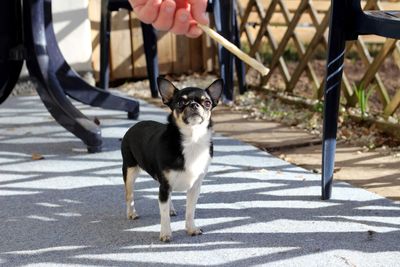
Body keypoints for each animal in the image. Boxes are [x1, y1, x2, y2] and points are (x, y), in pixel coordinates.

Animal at [120, 77, 223, 243]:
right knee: (129, 195)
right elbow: (163, 215)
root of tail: (134, 125)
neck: (192, 139)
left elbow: (190, 211)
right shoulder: (165, 186)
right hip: (130, 171)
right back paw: (131, 213)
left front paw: (191, 229)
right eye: (180, 103)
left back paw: (171, 208)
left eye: (207, 103)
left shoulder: (194, 187)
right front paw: (166, 233)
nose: (194, 105)